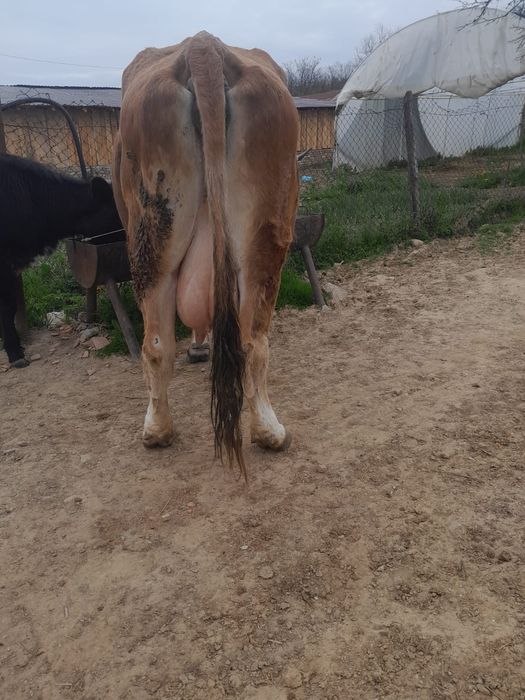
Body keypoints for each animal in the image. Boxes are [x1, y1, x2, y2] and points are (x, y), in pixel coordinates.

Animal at [113, 31, 299, 475]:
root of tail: (202, 45)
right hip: (264, 233)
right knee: (248, 339)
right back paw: (267, 431)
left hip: (151, 236)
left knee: (160, 341)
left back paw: (158, 430)